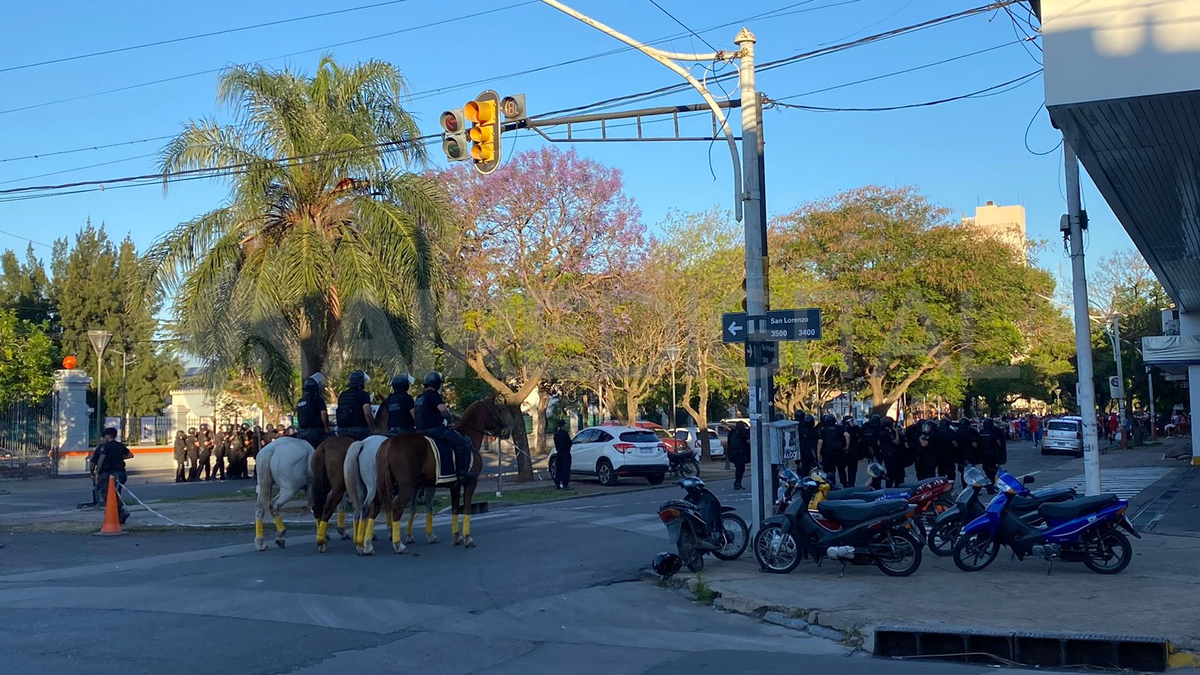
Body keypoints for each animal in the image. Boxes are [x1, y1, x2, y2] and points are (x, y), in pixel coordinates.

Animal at [367, 393, 513, 552]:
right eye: (499, 410)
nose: (507, 431)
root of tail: (387, 443)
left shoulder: (455, 486)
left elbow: (455, 509)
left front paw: (457, 537)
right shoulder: (470, 482)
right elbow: (467, 508)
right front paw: (468, 538)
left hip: (384, 486)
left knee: (374, 507)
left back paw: (367, 545)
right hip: (406, 486)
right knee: (396, 509)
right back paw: (397, 544)